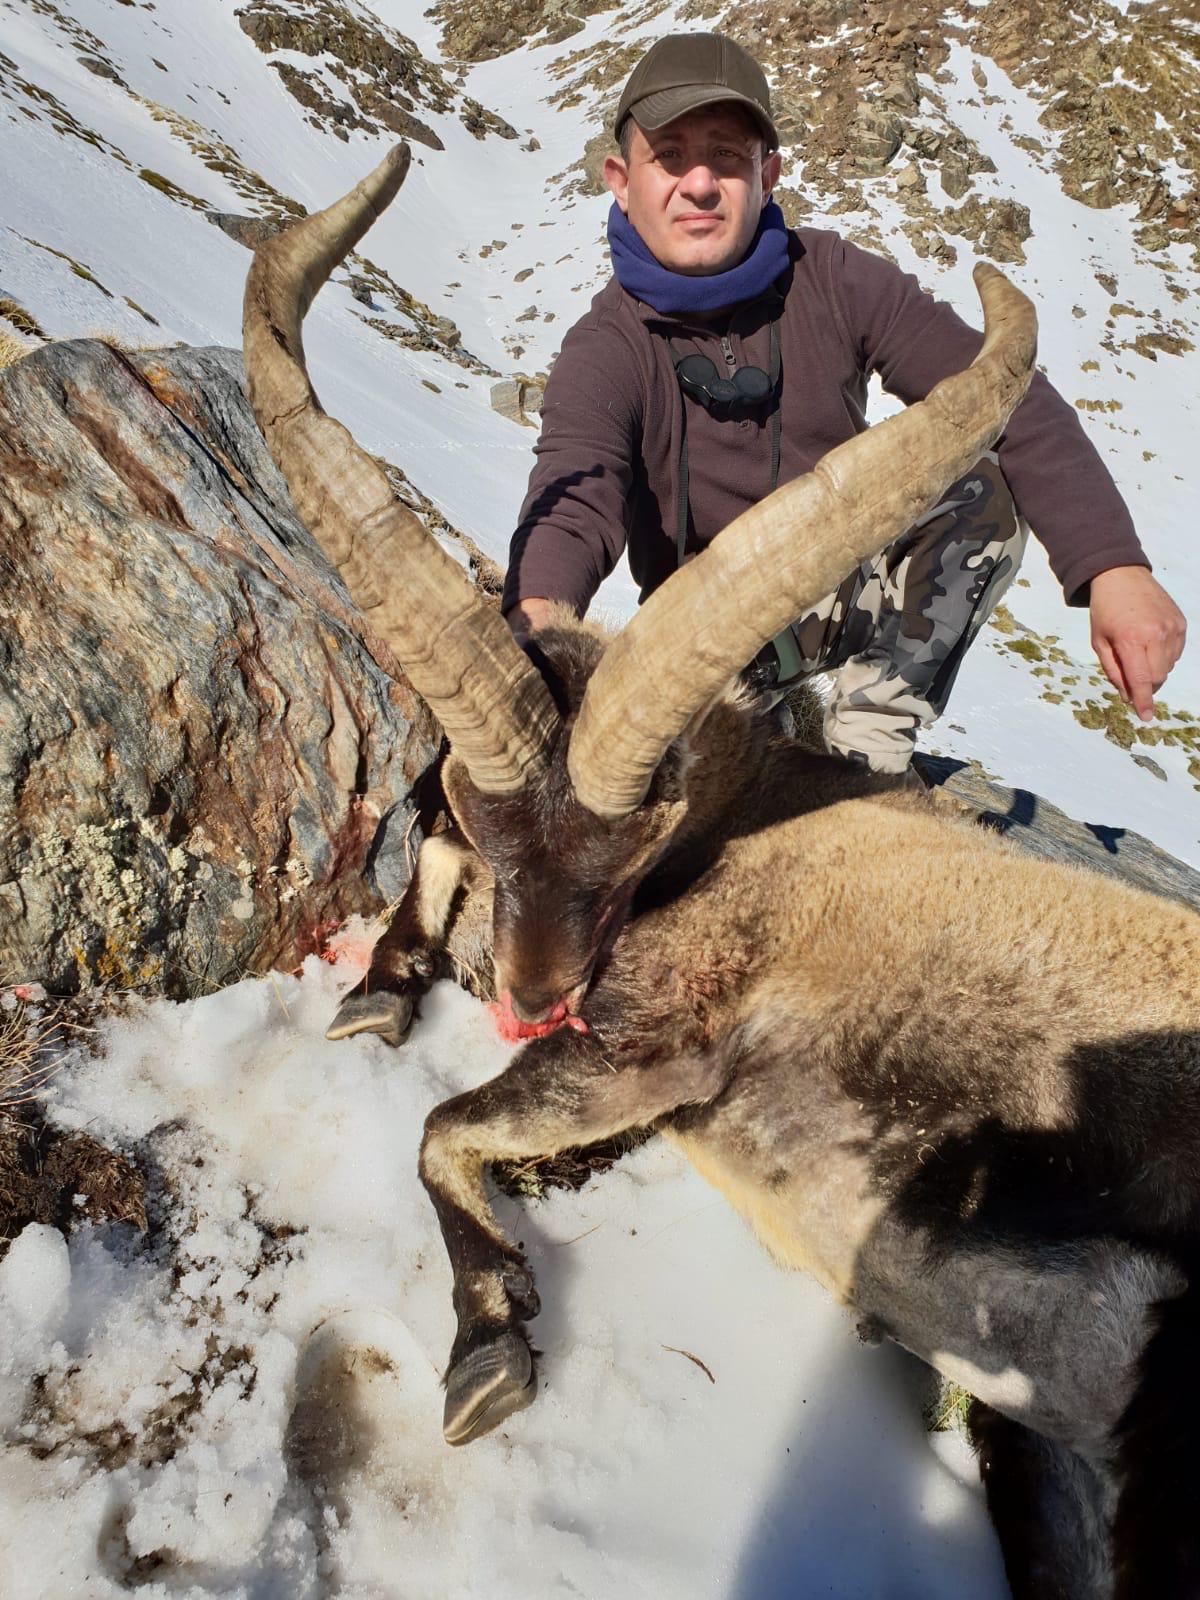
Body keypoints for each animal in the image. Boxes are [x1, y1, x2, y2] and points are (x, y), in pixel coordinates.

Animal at [243, 146, 1200, 1599]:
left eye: (635, 850)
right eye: (485, 813)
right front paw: (383, 985)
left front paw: (490, 1348)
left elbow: (445, 1127)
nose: (536, 999)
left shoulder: (665, 1043)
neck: (749, 816)